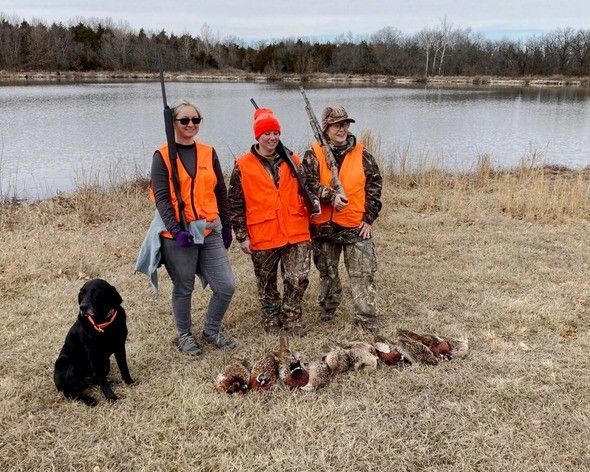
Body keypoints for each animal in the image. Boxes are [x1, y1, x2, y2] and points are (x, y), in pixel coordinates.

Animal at [54, 278, 134, 408]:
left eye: (96, 292)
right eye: (82, 293)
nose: (82, 307)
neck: (103, 323)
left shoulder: (120, 347)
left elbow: (123, 367)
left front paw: (129, 382)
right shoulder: (94, 356)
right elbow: (102, 380)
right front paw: (111, 397)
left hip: (106, 363)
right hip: (64, 363)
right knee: (72, 392)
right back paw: (89, 400)